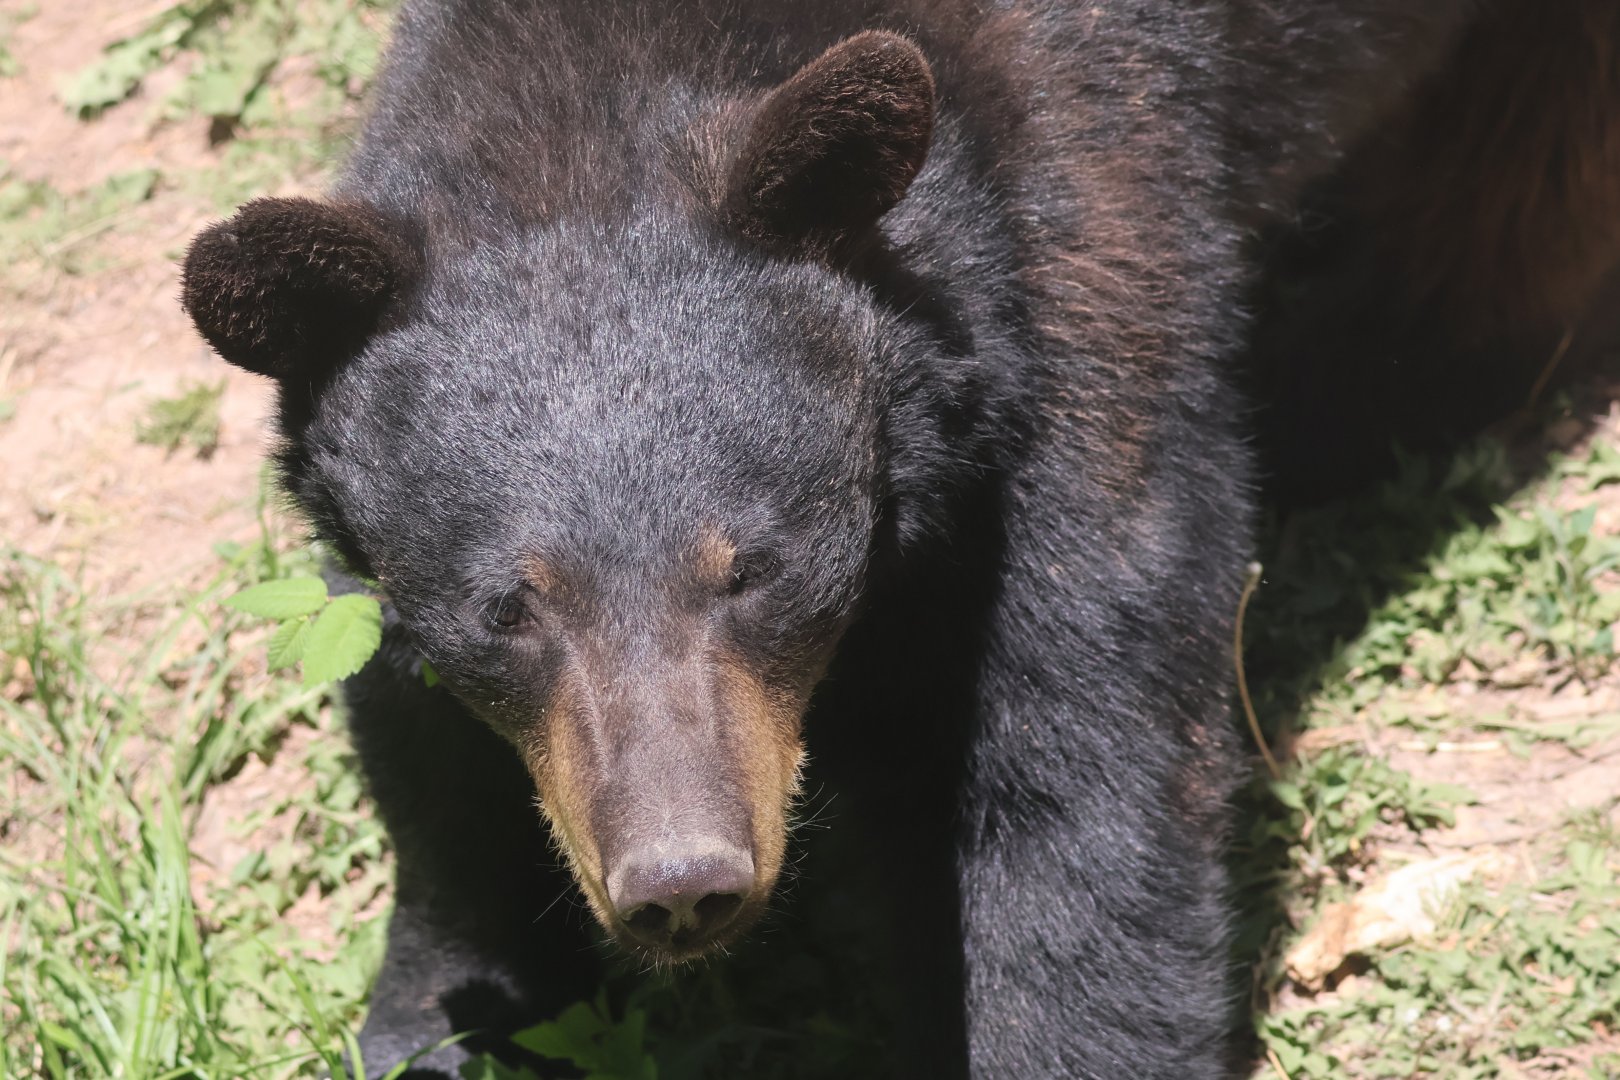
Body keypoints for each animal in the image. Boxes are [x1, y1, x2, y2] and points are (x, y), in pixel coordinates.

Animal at [178, 1, 1620, 1076]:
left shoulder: (1081, 267)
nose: (683, 881)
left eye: (753, 566)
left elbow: (1074, 786)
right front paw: (442, 1018)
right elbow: (423, 749)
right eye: (507, 608)